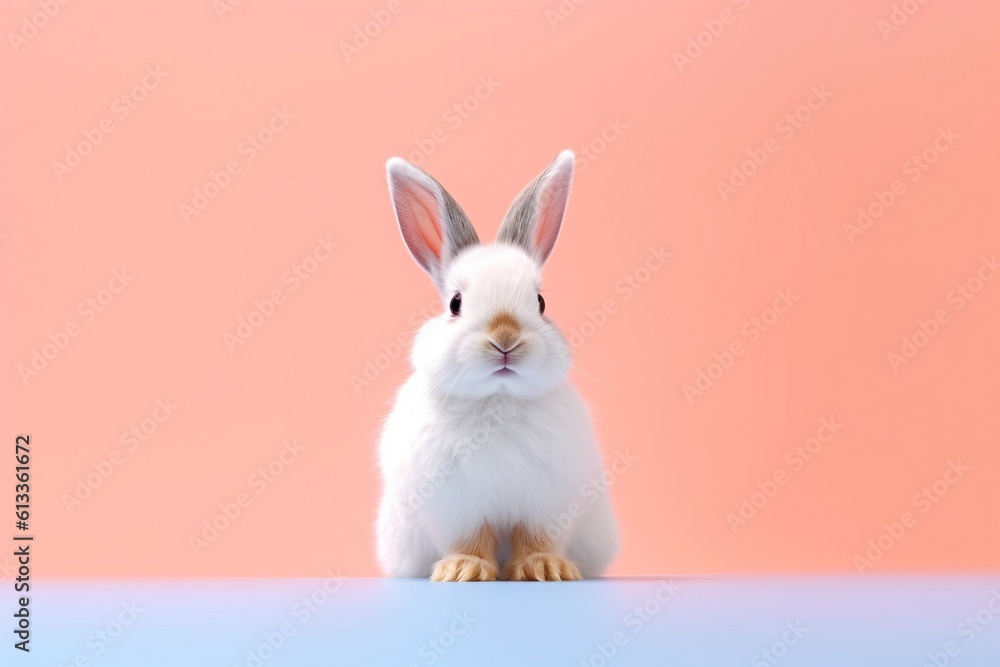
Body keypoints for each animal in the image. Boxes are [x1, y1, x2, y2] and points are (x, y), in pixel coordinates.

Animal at [375, 150, 619, 581]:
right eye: (455, 303)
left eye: (540, 302)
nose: (505, 339)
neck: (497, 399)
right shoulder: (457, 506)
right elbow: (471, 539)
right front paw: (464, 570)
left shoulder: (545, 502)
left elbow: (536, 538)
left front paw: (545, 568)